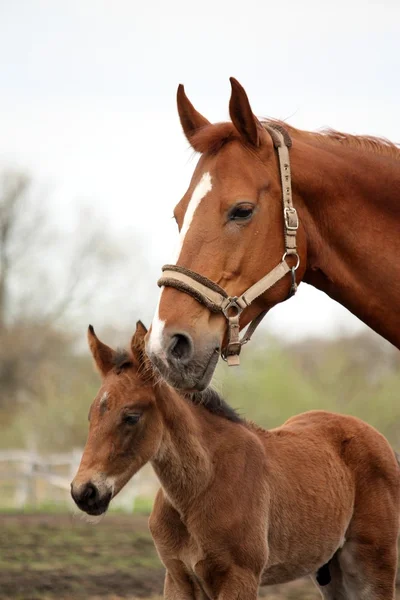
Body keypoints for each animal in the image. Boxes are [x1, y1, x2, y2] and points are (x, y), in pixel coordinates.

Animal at [70, 324, 398, 600]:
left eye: (131, 416)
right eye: (91, 415)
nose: (84, 492)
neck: (200, 487)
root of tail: (379, 439)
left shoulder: (239, 578)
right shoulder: (178, 578)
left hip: (373, 565)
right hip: (332, 569)